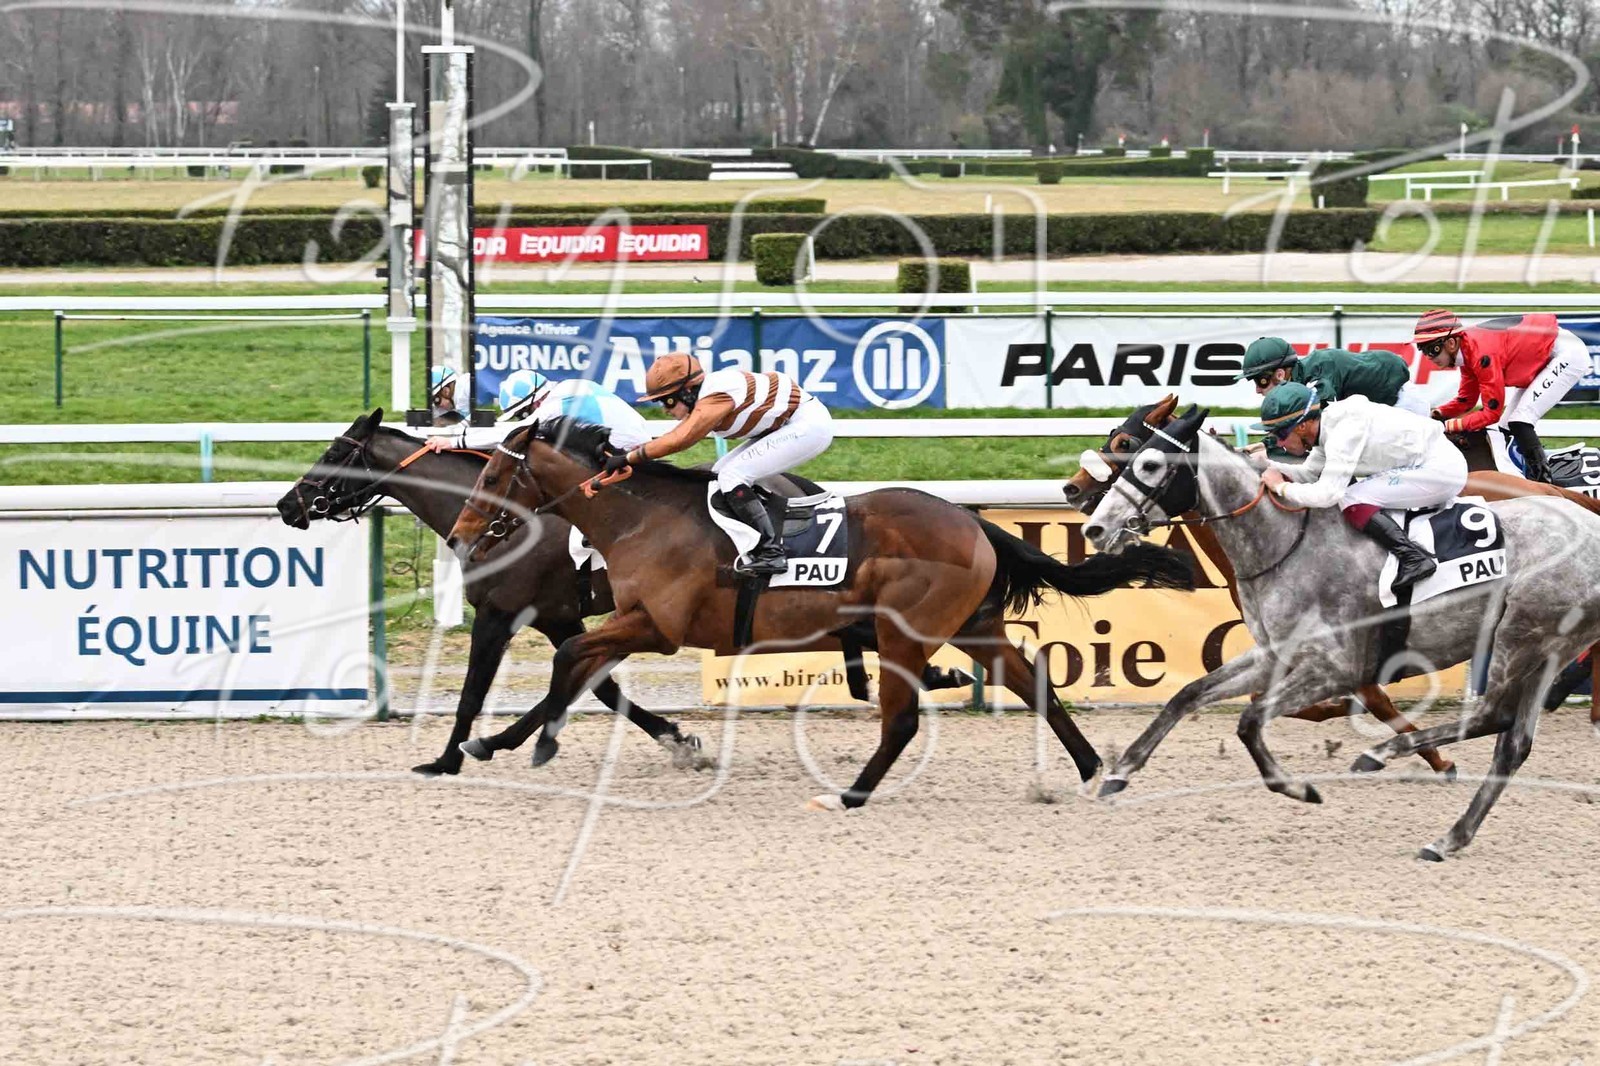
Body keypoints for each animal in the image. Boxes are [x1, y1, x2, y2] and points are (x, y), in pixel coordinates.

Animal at [276, 410, 703, 775]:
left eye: (333, 453)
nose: (286, 505)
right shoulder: (557, 617)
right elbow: (599, 685)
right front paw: (674, 737)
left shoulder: (497, 613)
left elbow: (473, 693)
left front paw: (447, 760)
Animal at [443, 417, 1197, 809]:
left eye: (492, 473)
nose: (459, 534)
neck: (639, 517)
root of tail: (972, 521)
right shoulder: (634, 622)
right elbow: (580, 667)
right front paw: (496, 742)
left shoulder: (657, 627)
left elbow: (572, 659)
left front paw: (519, 743)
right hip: (974, 628)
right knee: (1034, 683)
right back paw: (1092, 769)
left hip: (905, 632)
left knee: (901, 719)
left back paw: (852, 793)